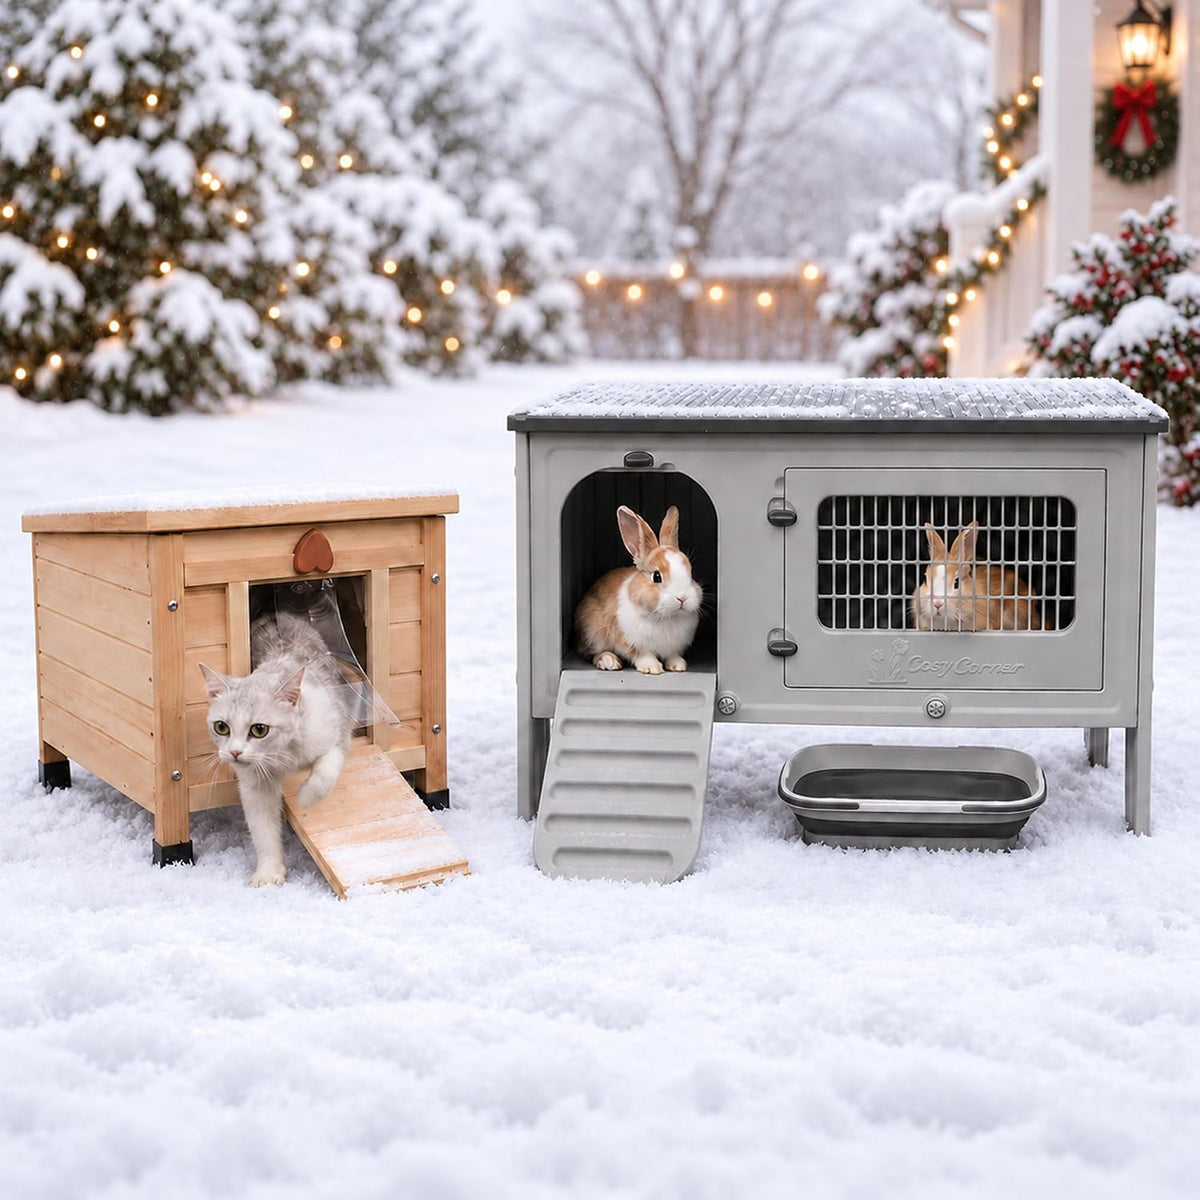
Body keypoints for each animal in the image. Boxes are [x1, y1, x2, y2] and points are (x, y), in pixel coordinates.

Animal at [576, 504, 703, 674]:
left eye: (690, 572)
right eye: (656, 576)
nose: (682, 598)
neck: (666, 617)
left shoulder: (673, 648)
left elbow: (672, 655)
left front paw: (678, 666)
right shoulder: (628, 640)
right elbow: (642, 654)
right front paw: (652, 668)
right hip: (593, 632)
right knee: (592, 653)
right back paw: (609, 661)